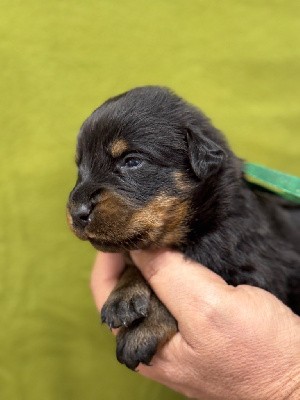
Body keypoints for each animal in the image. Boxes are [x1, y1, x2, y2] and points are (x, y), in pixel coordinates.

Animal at [67, 86, 300, 370]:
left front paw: (142, 331)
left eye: (132, 161)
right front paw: (123, 296)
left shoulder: (261, 272)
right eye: (81, 167)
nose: (76, 212)